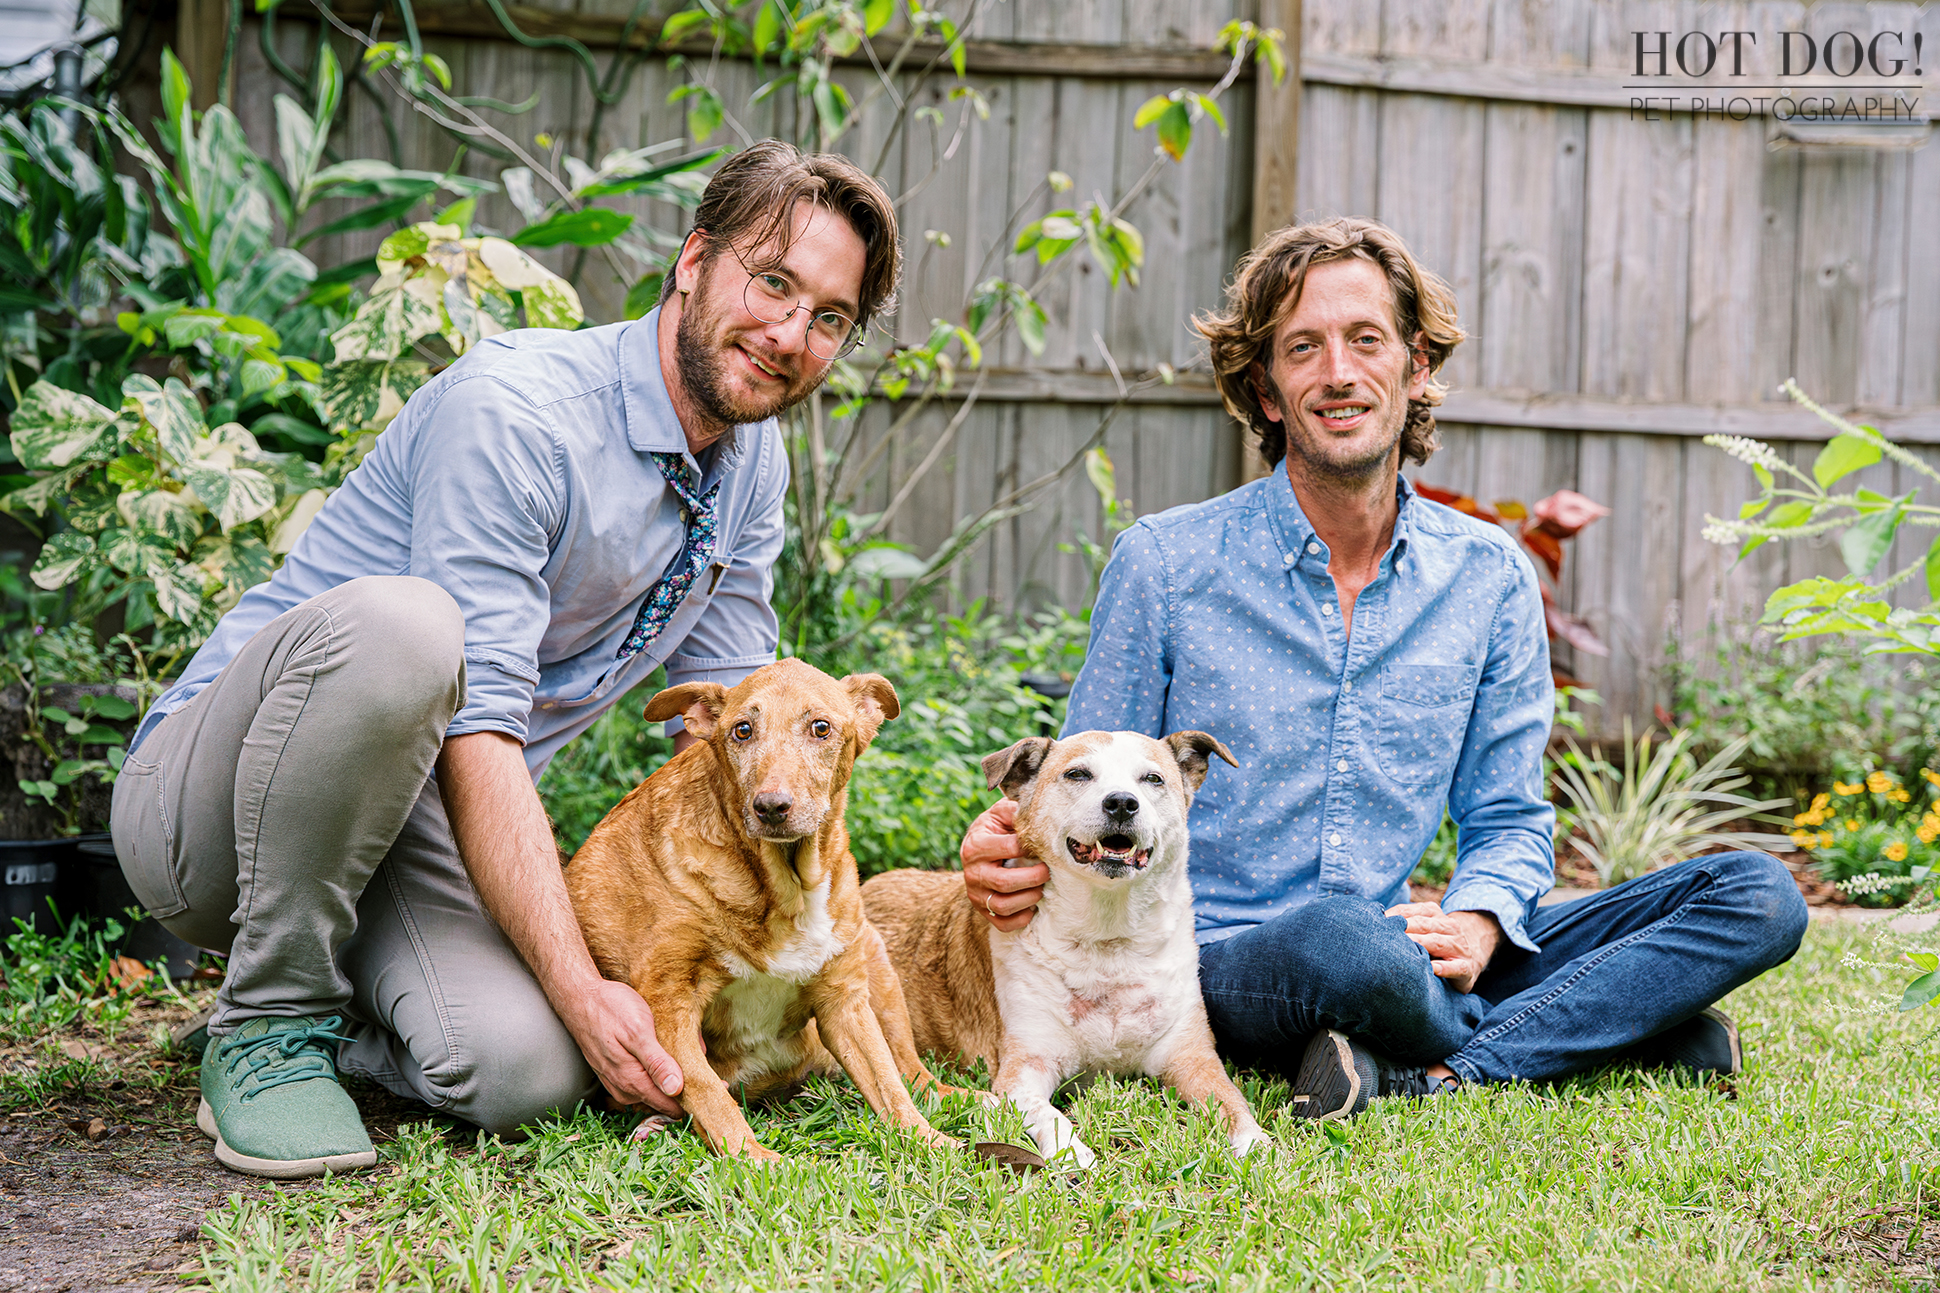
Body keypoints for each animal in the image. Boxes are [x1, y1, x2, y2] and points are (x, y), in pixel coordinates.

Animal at [562, 660, 954, 1149]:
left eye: (821, 727)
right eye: (742, 730)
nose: (770, 807)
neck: (782, 888)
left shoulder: (844, 998)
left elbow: (888, 1082)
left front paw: (932, 1143)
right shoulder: (667, 999)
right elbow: (707, 1092)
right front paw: (753, 1159)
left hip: (876, 964)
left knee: (914, 1071)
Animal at [861, 729, 1257, 1164]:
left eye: (1153, 779)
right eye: (1077, 774)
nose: (1122, 802)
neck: (1107, 940)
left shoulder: (1192, 1058)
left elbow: (1234, 1103)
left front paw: (1258, 1148)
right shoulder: (1023, 1071)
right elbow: (1050, 1115)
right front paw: (1074, 1156)